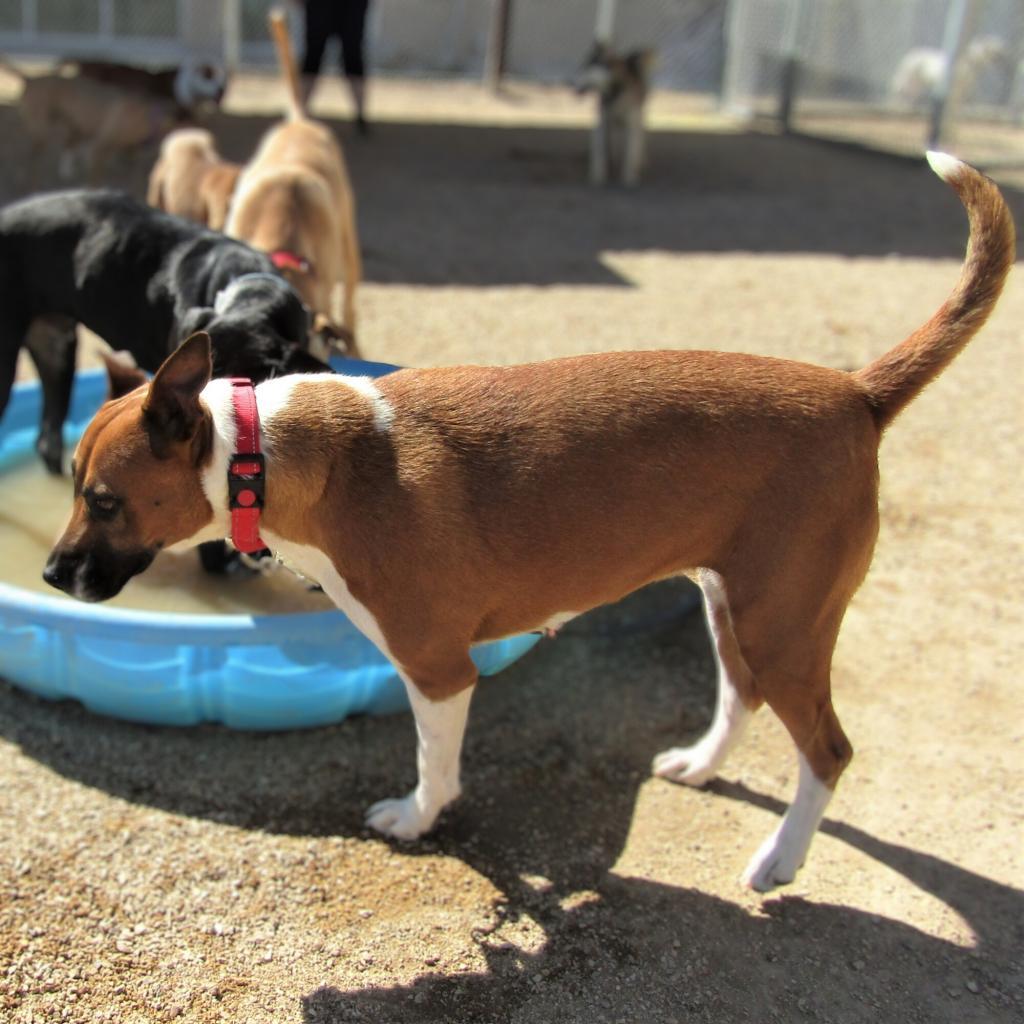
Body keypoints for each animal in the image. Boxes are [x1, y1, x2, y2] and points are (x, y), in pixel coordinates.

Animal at [41, 155, 1015, 892]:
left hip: (784, 624)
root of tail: (855, 392)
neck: (267, 453)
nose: (49, 576)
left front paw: (417, 819)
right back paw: (702, 766)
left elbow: (434, 765)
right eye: (76, 489)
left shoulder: (439, 672)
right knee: (741, 698)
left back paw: (780, 860)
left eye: (103, 500)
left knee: (828, 750)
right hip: (736, 605)